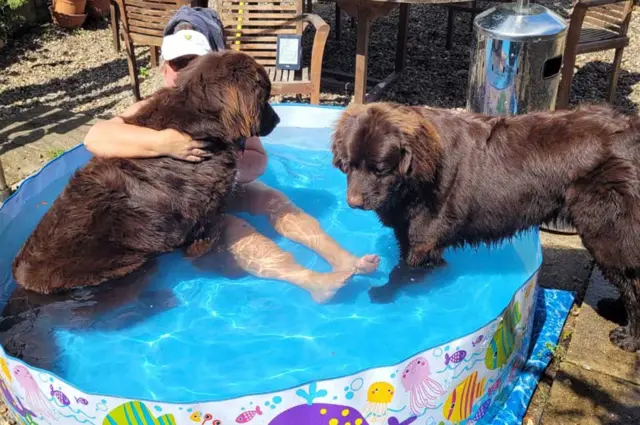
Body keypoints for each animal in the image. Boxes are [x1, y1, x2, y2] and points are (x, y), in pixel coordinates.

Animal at [332, 102, 640, 352]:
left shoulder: (423, 239)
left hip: (606, 230)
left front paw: (385, 293)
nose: (353, 202)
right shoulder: (407, 232)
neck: (417, 175)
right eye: (349, 164)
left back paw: (629, 338)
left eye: (380, 169)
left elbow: (403, 271)